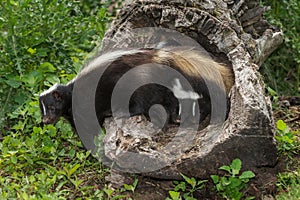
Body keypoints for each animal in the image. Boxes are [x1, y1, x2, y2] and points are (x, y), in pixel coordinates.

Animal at [38, 47, 234, 130]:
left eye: (52, 107)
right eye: (42, 111)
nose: (45, 121)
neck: (70, 91)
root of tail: (156, 57)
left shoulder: (84, 105)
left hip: (135, 83)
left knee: (139, 102)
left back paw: (121, 112)